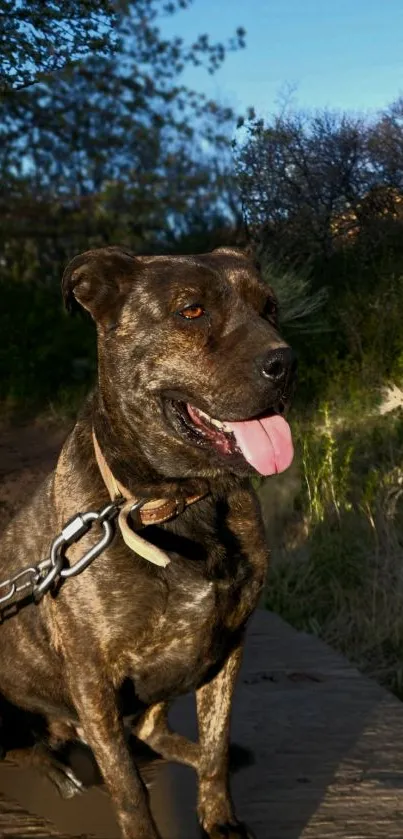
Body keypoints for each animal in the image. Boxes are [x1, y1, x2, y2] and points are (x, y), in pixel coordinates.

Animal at [0, 248, 296, 839]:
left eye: (269, 307)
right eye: (192, 310)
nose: (286, 363)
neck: (179, 502)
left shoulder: (227, 646)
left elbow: (215, 746)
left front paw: (220, 817)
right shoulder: (92, 678)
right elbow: (127, 786)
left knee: (154, 731)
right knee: (28, 748)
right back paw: (55, 769)